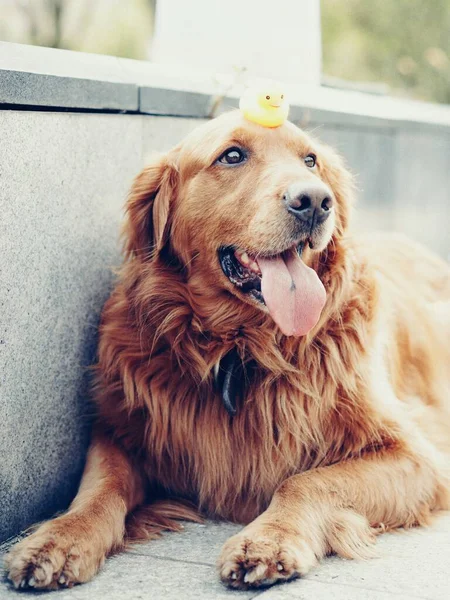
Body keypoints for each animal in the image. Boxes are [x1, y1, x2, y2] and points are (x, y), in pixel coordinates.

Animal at [4, 109, 450, 592]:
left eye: (310, 160)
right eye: (232, 156)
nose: (315, 201)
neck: (241, 348)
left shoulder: (417, 457)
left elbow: (306, 481)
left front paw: (270, 539)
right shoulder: (122, 429)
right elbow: (98, 489)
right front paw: (58, 539)